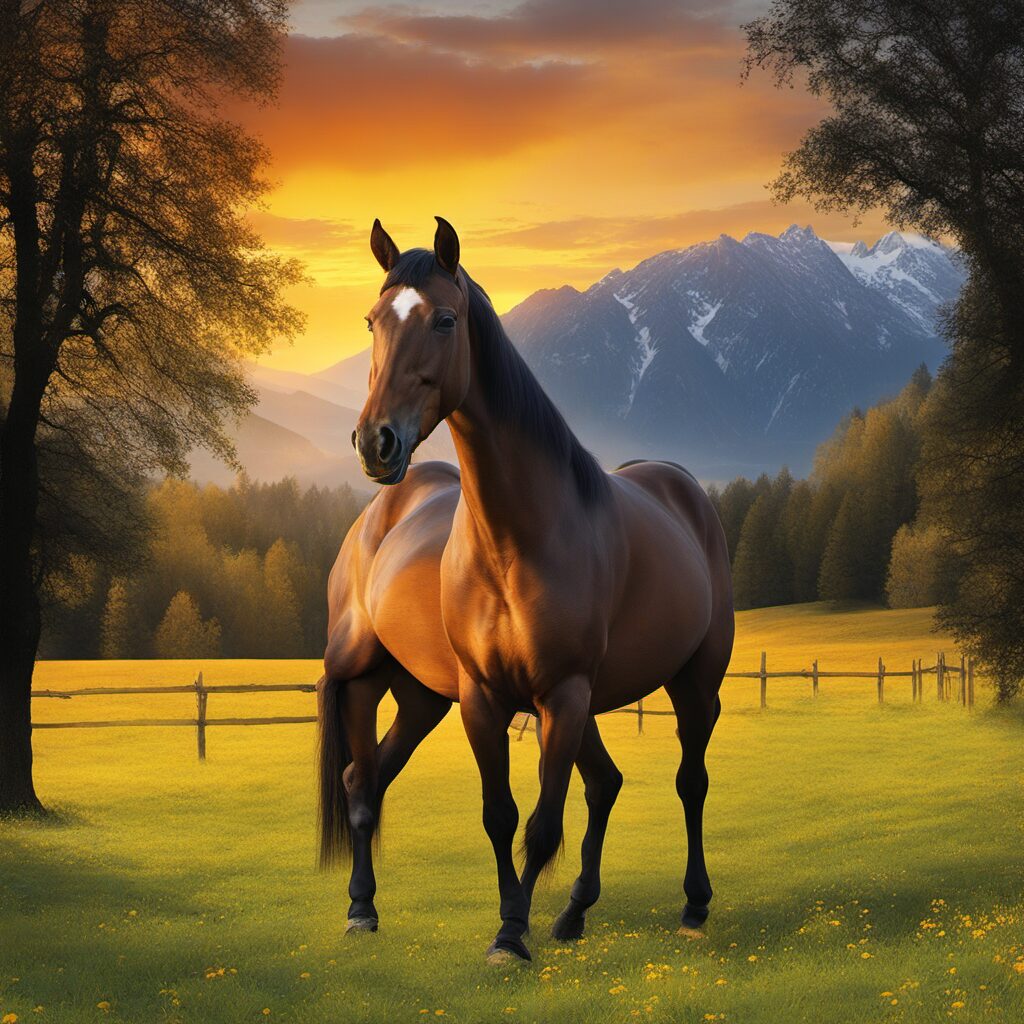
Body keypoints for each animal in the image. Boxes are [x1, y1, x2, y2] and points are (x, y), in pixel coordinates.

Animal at [317, 465, 624, 938]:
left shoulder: (566, 696)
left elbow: (600, 782)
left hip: (421, 702)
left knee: (366, 776)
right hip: (362, 680)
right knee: (363, 787)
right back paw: (361, 908)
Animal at [351, 217, 734, 963]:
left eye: (445, 320)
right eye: (372, 321)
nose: (377, 442)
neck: (515, 541)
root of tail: (681, 487)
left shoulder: (562, 694)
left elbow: (542, 822)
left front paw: (512, 934)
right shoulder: (482, 699)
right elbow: (501, 817)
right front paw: (516, 919)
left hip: (691, 684)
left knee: (692, 782)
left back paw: (694, 904)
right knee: (605, 783)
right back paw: (573, 912)